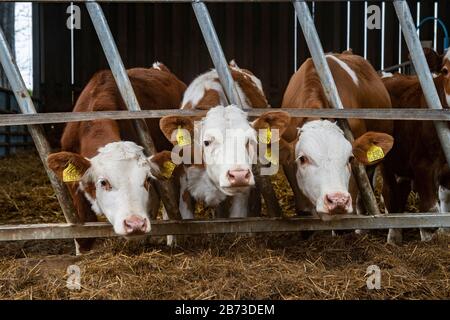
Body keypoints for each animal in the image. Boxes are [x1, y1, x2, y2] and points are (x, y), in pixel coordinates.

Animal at [382, 51, 450, 244]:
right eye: (445, 70)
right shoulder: (422, 164)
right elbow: (430, 208)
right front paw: (428, 238)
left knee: (401, 191)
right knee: (389, 194)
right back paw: (392, 237)